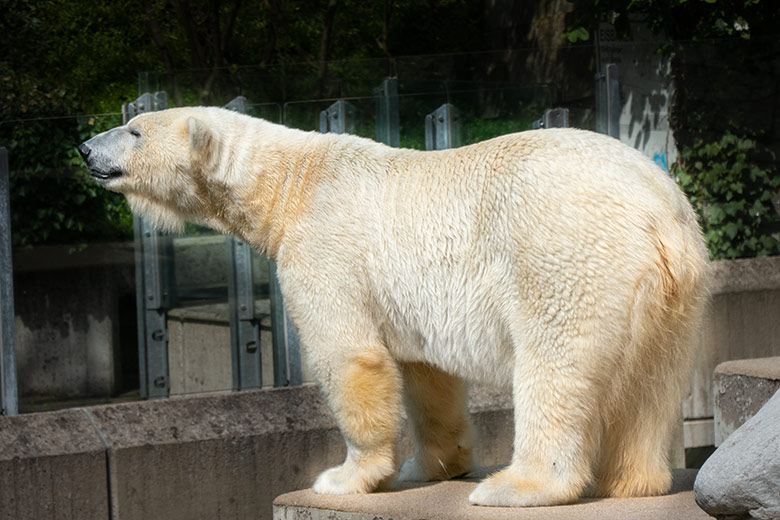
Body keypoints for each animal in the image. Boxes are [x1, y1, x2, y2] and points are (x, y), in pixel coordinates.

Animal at [80, 106, 712, 508]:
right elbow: (427, 377)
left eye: (134, 130)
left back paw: (515, 486)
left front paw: (345, 477)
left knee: (555, 367)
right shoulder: (410, 298)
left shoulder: (325, 248)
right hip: (678, 291)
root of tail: (658, 213)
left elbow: (349, 354)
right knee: (652, 382)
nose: (85, 147)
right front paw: (430, 465)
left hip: (565, 255)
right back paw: (632, 481)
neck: (291, 185)